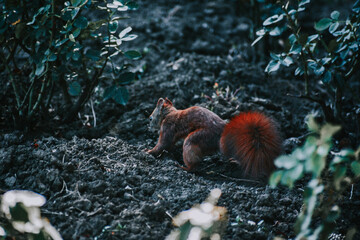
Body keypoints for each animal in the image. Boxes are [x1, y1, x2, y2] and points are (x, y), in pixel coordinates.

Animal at [146, 97, 282, 178]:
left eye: (151, 118)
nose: (149, 127)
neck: (169, 114)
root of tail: (222, 131)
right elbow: (168, 145)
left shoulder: (167, 127)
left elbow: (162, 144)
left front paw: (148, 151)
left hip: (197, 138)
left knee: (193, 164)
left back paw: (184, 167)